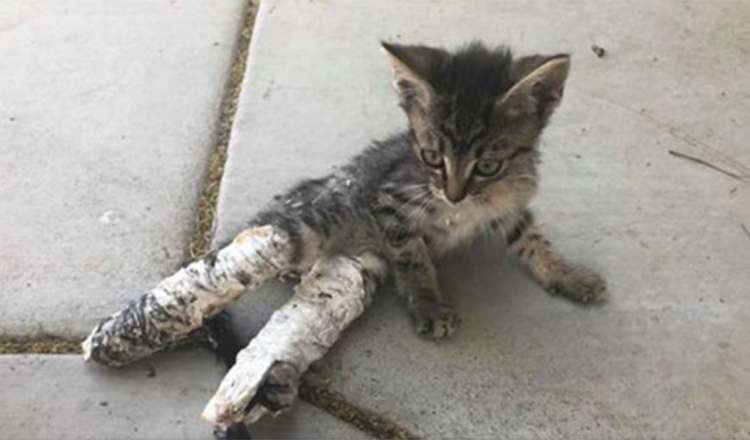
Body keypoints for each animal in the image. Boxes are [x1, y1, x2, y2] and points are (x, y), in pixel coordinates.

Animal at [209, 41, 608, 430]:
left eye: (487, 165)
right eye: (432, 157)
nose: (454, 194)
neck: (472, 204)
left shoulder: (511, 207)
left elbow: (533, 240)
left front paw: (567, 274)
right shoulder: (392, 202)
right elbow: (413, 258)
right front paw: (428, 303)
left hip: (360, 268)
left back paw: (277, 382)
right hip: (310, 225)